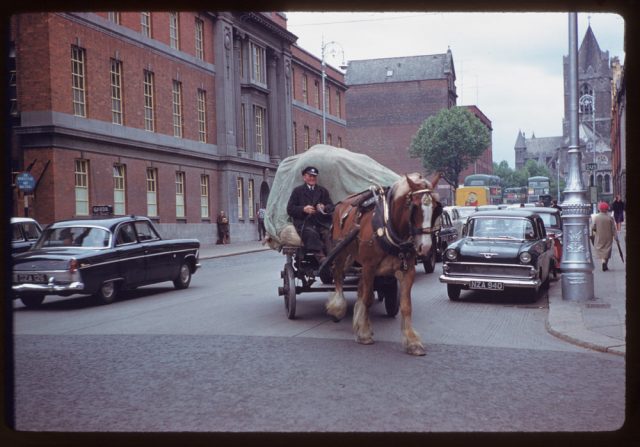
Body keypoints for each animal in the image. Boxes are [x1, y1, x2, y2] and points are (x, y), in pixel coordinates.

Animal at [328, 173, 438, 356]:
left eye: (437, 207)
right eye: (414, 207)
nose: (426, 247)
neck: (388, 225)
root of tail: (340, 204)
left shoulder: (407, 270)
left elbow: (406, 306)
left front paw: (412, 342)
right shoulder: (369, 267)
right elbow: (368, 300)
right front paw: (365, 334)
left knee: (360, 287)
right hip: (341, 253)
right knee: (338, 277)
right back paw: (337, 308)